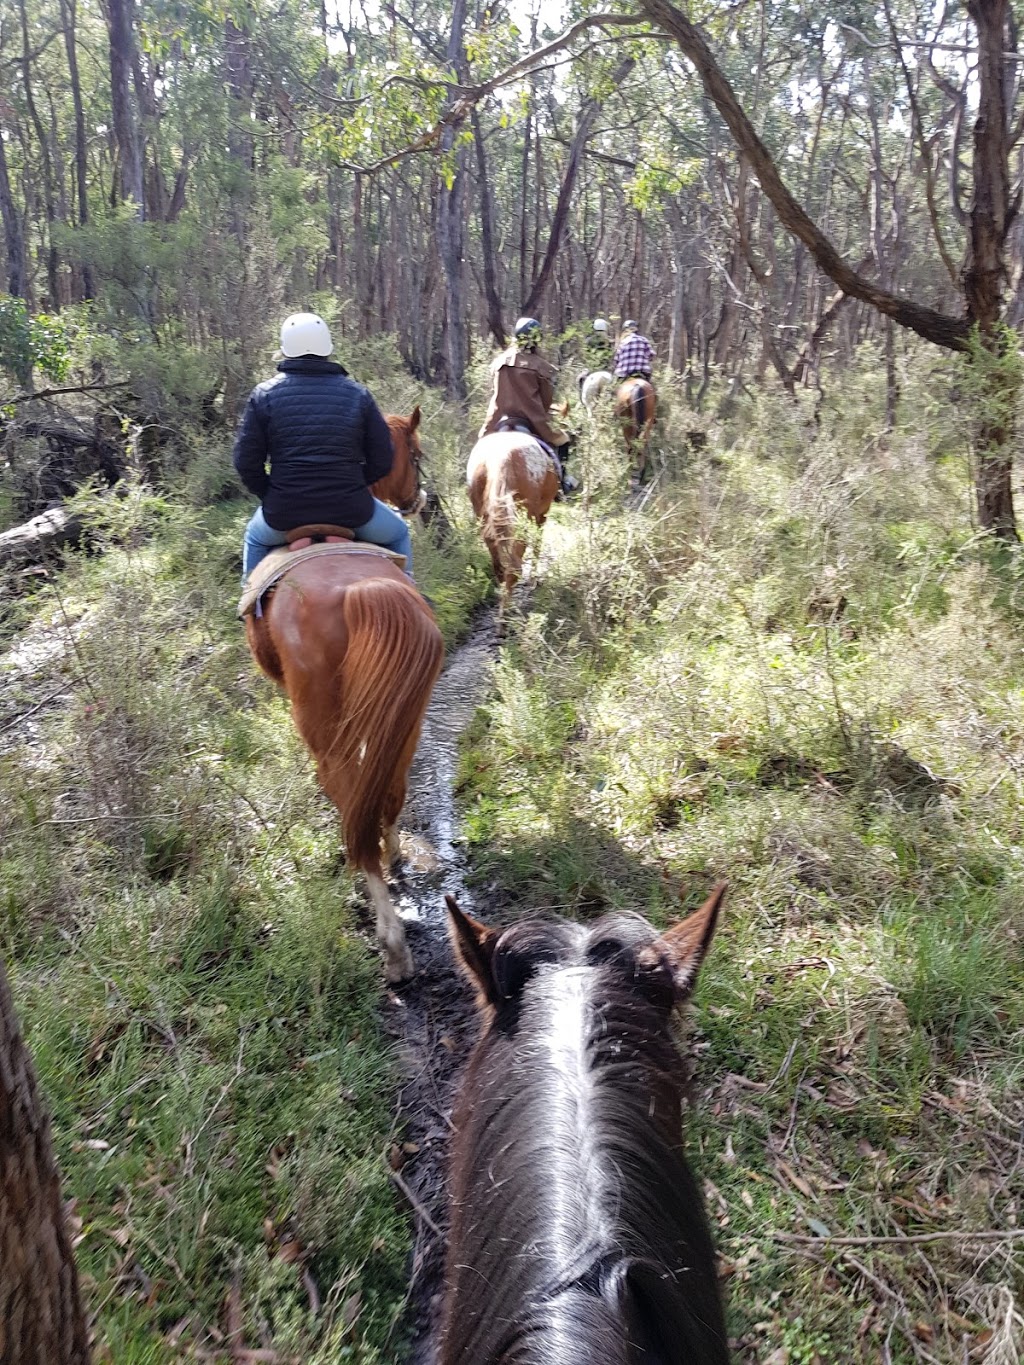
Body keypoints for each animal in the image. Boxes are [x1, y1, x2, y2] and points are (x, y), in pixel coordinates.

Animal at [248, 546, 445, 982]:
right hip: (408, 718)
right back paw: (392, 856)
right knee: (389, 792)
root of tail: (363, 588)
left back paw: (392, 945)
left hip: (326, 729)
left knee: (352, 808)